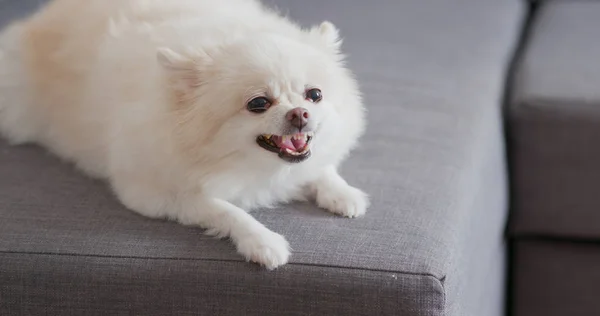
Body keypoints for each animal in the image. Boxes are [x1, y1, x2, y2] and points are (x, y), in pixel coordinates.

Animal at [0, 0, 366, 270]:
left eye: (314, 95)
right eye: (259, 103)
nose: (300, 114)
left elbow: (320, 168)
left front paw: (342, 193)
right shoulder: (157, 195)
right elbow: (225, 209)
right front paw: (262, 241)